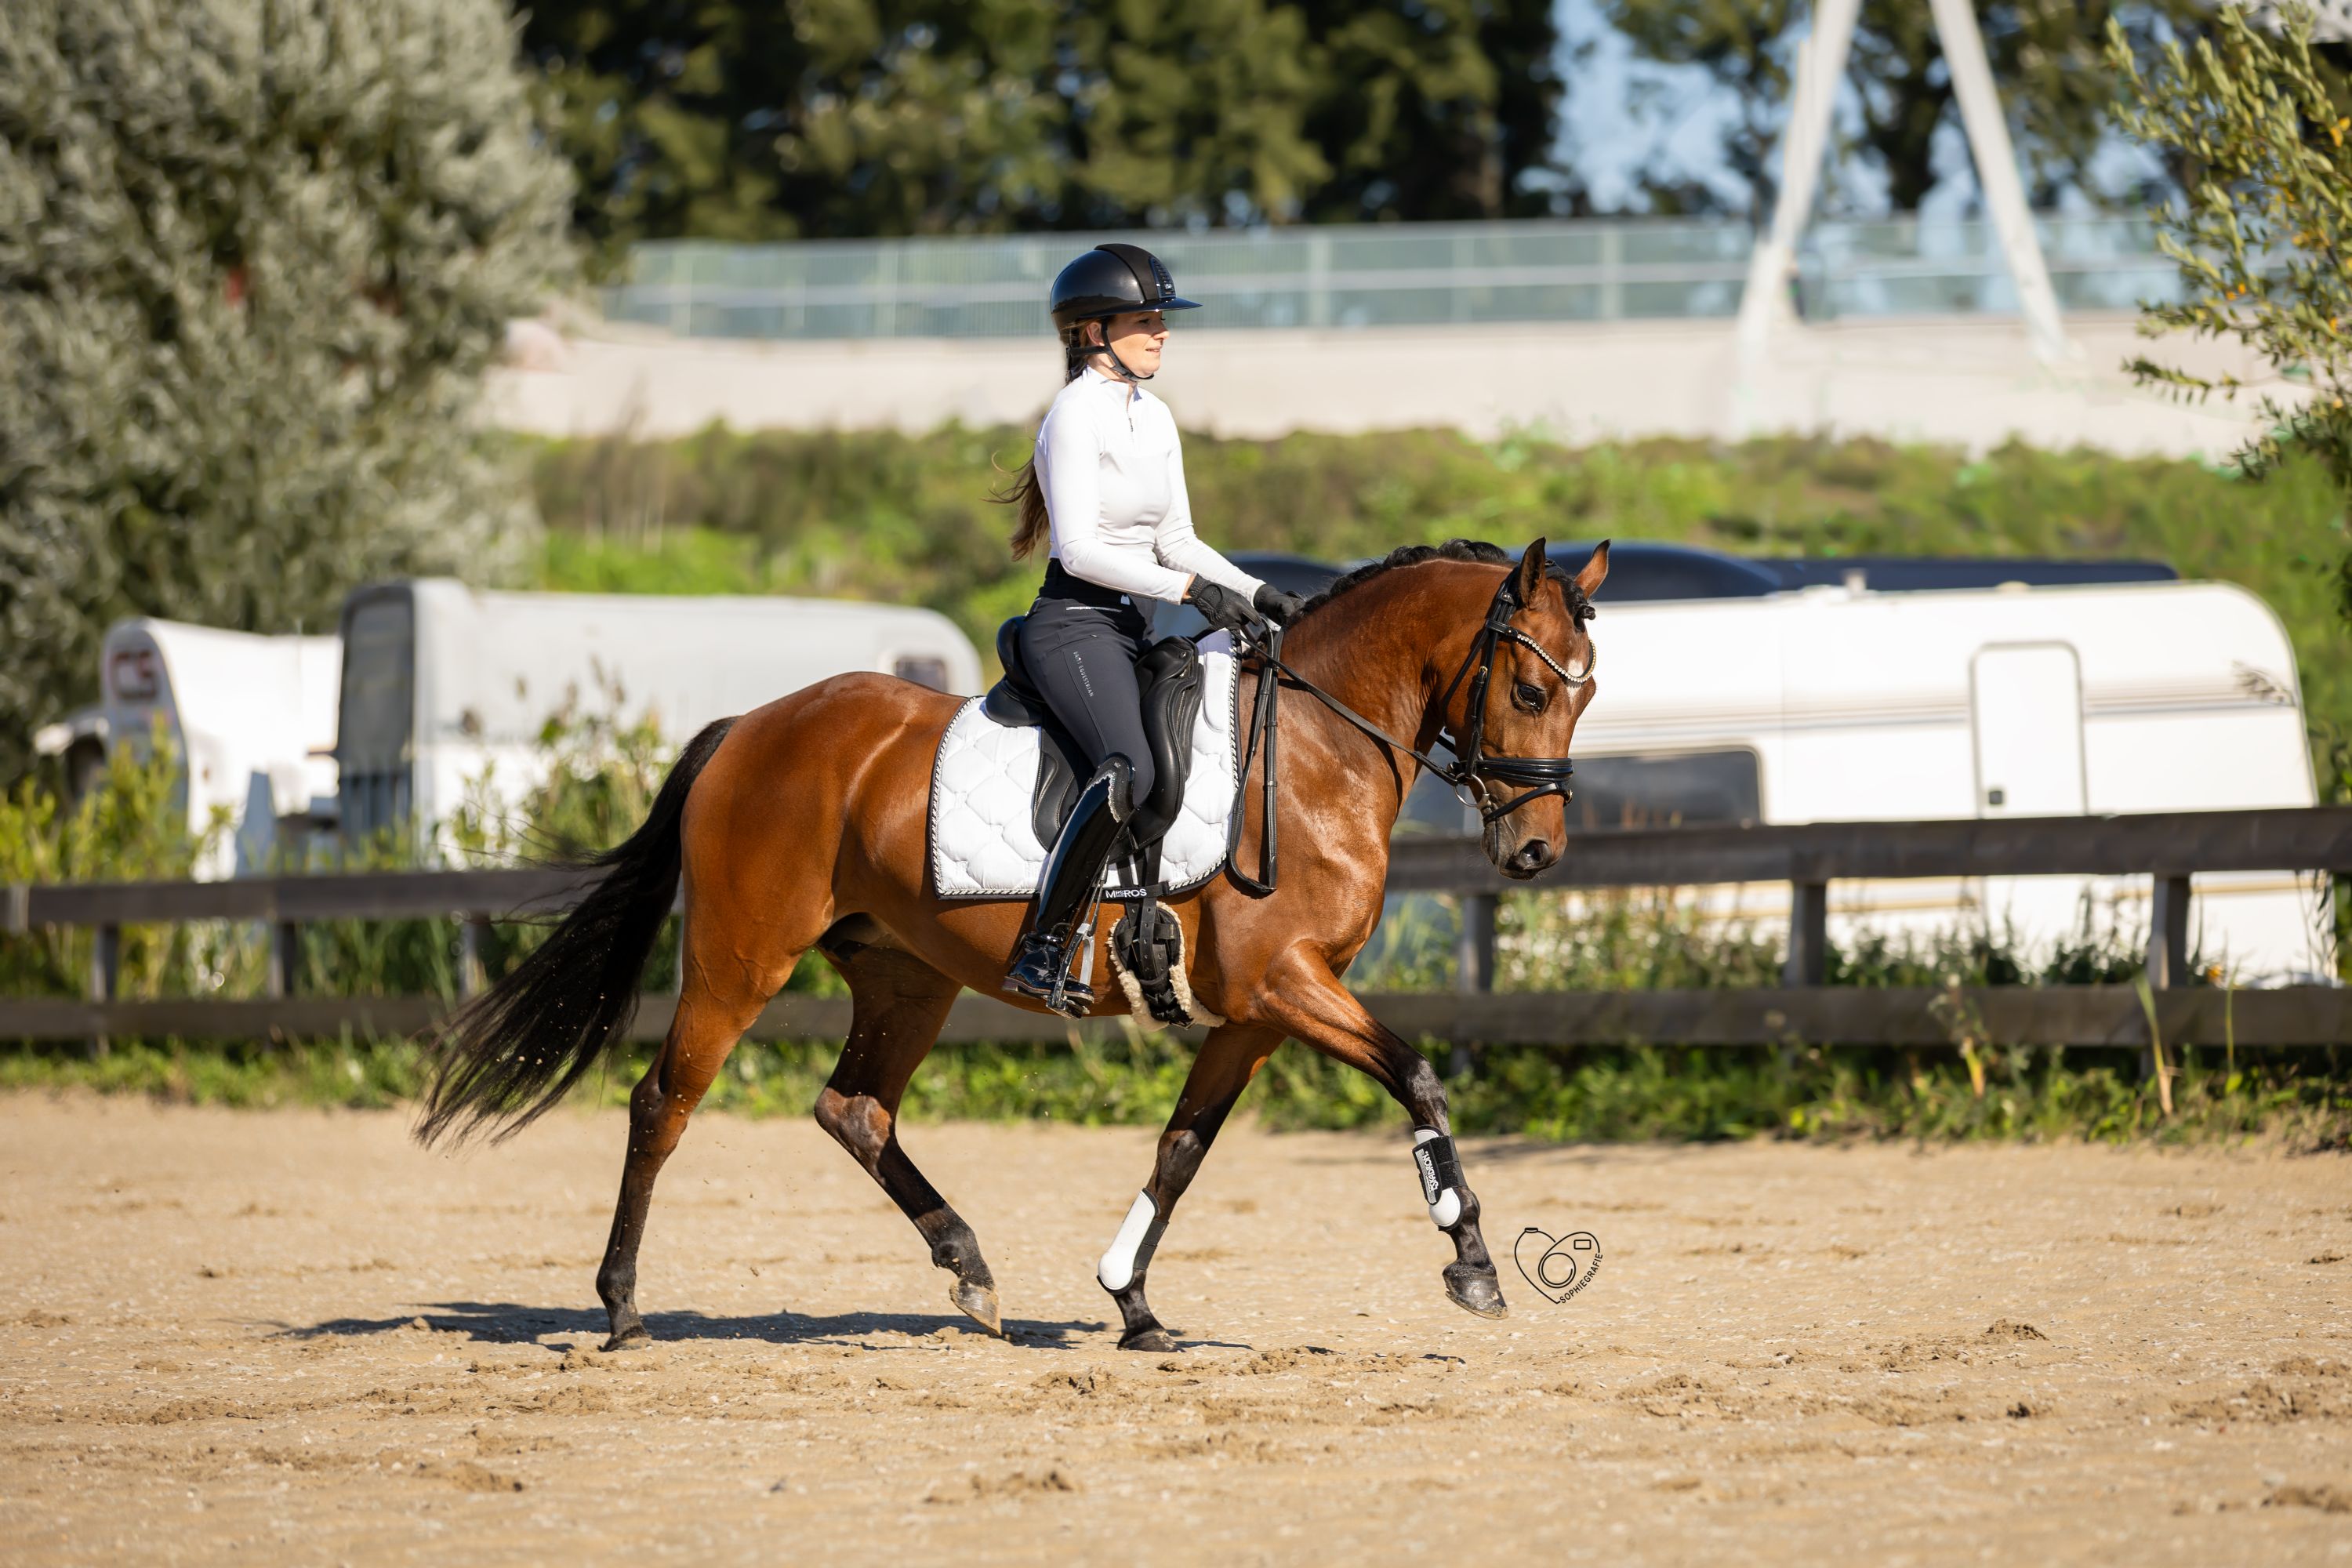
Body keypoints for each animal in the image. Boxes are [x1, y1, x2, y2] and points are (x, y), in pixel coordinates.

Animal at [416, 536, 1609, 1353]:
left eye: (1587, 691)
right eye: (1530, 687)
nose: (1537, 850)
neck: (1315, 748)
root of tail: (746, 729)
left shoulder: (1258, 1010)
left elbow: (1183, 1148)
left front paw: (1133, 1302)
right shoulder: (1285, 982)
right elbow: (1417, 1076)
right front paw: (1471, 1260)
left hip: (907, 977)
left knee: (854, 1109)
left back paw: (970, 1267)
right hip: (740, 959)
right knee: (663, 1101)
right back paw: (621, 1307)